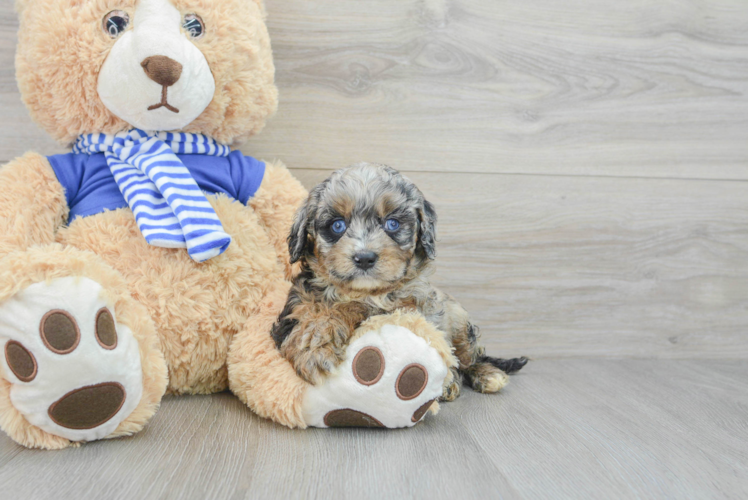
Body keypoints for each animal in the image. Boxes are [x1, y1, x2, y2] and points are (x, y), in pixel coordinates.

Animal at [274, 162, 524, 400]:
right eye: (337, 225)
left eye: (392, 223)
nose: (365, 258)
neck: (368, 293)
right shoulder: (297, 305)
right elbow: (321, 312)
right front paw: (315, 346)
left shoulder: (417, 308)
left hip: (462, 325)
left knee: (469, 358)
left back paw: (485, 375)